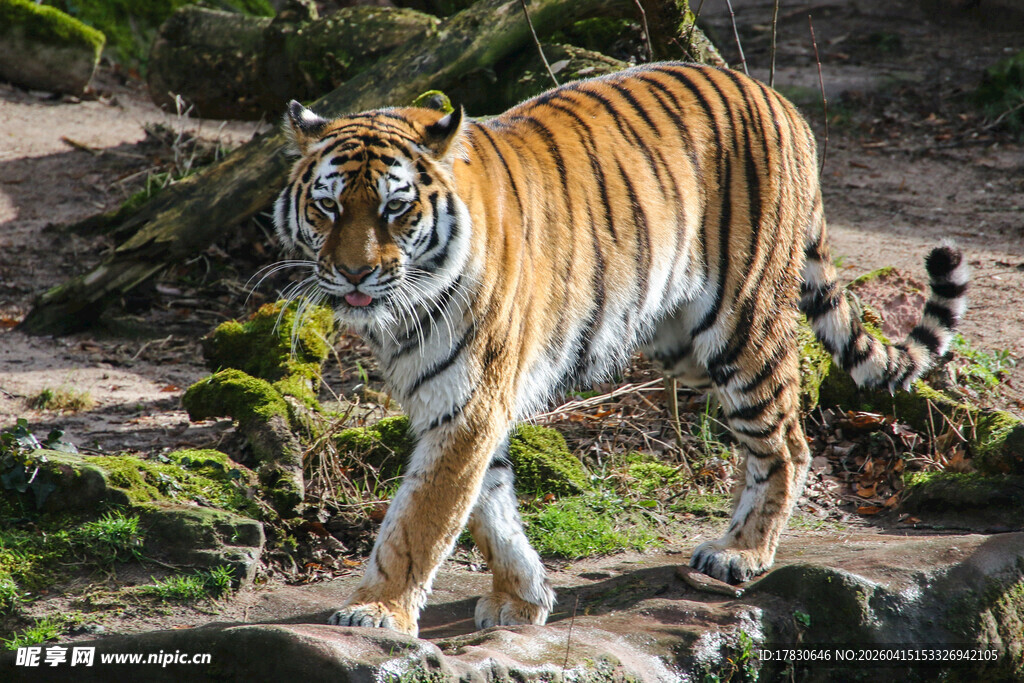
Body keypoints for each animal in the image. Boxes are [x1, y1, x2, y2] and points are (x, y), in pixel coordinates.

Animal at [273, 62, 968, 637]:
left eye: (394, 209)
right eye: (327, 206)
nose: (354, 274)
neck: (403, 310)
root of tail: (776, 99)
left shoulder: (467, 402)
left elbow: (422, 518)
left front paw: (376, 609)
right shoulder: (461, 403)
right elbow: (487, 505)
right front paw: (523, 597)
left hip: (741, 327)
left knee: (788, 443)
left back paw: (740, 553)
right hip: (681, 344)